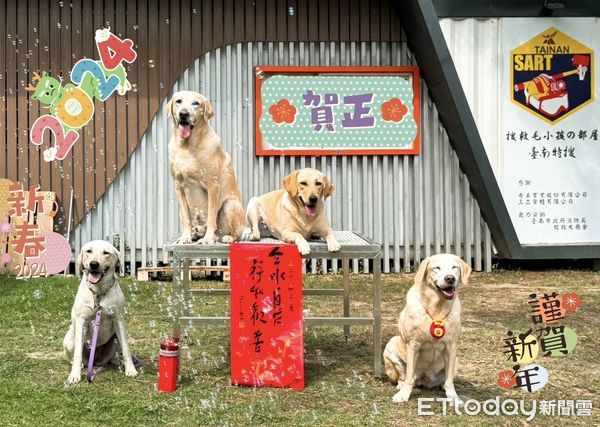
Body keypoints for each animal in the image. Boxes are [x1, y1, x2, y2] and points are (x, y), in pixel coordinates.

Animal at [63, 241, 138, 384]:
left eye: (106, 253)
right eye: (89, 251)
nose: (94, 264)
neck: (99, 292)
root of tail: (96, 361)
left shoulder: (118, 319)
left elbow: (126, 349)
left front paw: (131, 369)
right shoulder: (82, 321)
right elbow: (77, 354)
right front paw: (74, 375)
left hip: (116, 339)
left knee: (116, 352)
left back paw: (117, 361)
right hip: (69, 339)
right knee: (74, 356)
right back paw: (79, 365)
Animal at [166, 90, 244, 244]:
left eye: (196, 103)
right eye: (178, 101)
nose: (184, 114)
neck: (186, 147)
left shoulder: (213, 186)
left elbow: (211, 217)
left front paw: (207, 239)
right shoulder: (179, 187)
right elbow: (186, 220)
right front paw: (185, 237)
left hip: (230, 203)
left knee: (235, 234)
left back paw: (223, 237)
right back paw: (196, 233)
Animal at [384, 256, 474, 406]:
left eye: (454, 267)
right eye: (437, 268)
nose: (450, 278)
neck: (437, 308)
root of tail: (424, 381)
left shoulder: (451, 346)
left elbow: (449, 381)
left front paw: (453, 397)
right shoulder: (413, 345)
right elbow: (409, 377)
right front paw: (403, 395)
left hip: (456, 361)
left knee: (445, 379)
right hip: (391, 345)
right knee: (404, 376)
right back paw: (401, 386)